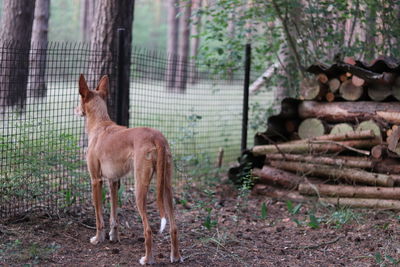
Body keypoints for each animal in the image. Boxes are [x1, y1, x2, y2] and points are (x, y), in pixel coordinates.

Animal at [76, 75, 183, 266]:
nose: (75, 111)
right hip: (166, 187)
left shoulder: (96, 180)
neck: (100, 125)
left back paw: (147, 259)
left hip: (140, 189)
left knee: (148, 230)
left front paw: (98, 238)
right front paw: (114, 237)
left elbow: (98, 215)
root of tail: (157, 137)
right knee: (174, 227)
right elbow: (113, 215)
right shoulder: (113, 181)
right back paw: (175, 256)